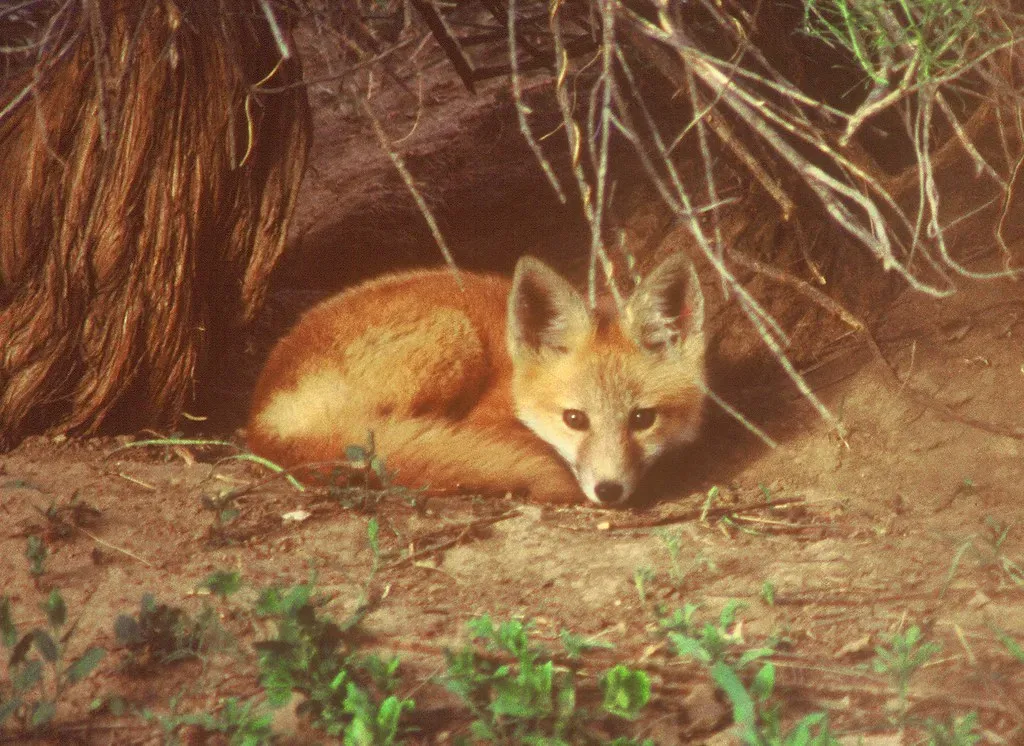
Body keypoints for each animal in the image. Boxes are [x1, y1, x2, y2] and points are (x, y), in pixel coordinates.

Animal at [246, 252, 706, 506]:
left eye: (642, 419)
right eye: (575, 419)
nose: (608, 490)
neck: (515, 382)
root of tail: (259, 423)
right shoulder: (484, 417)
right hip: (454, 334)